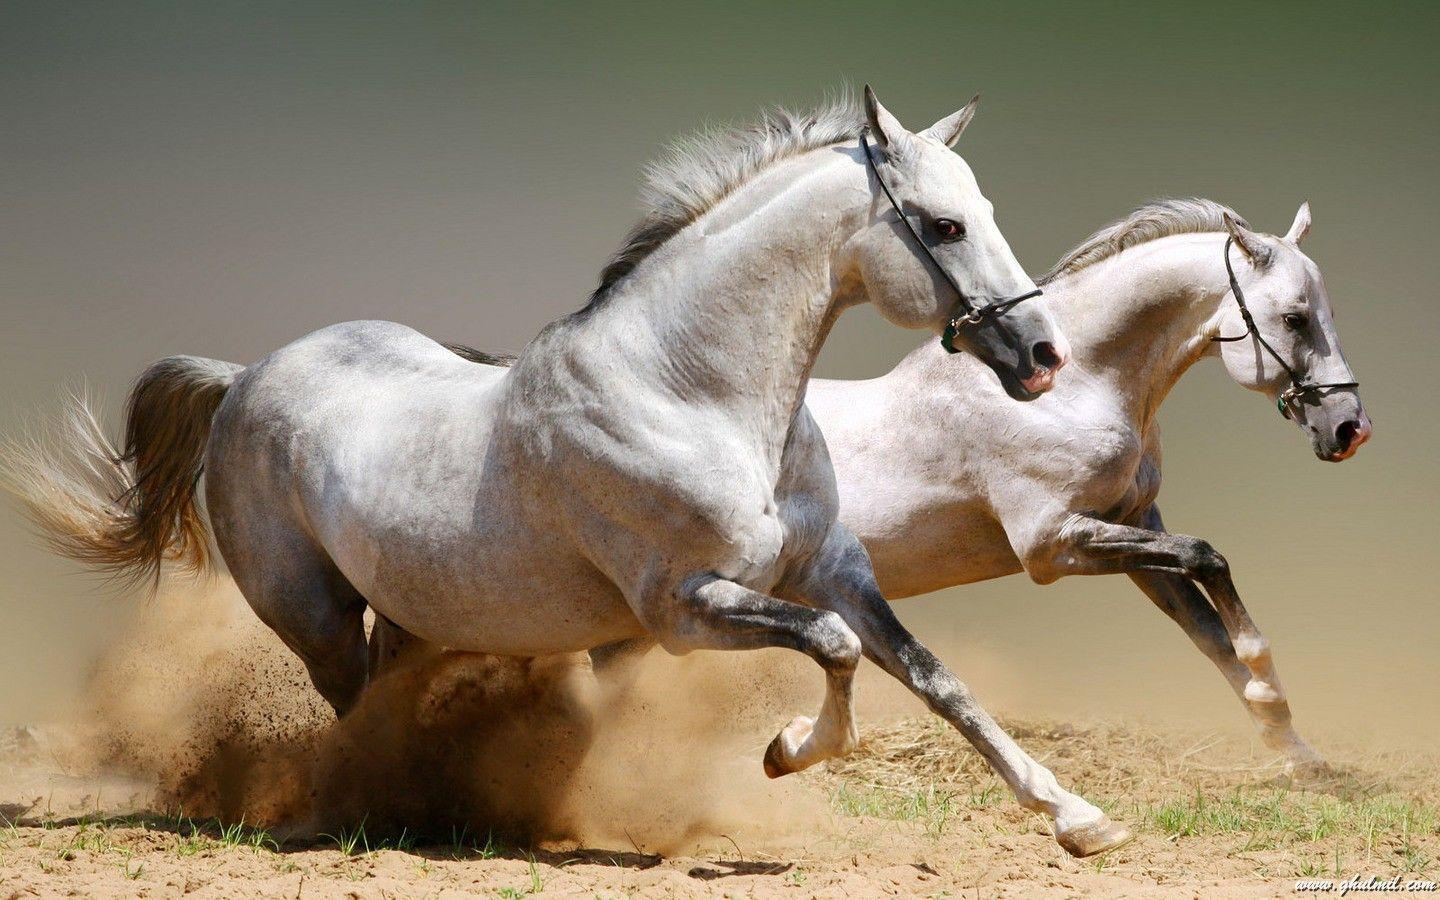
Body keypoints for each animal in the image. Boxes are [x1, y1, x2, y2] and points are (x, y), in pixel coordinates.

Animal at [7, 91, 1147, 857]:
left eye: (985, 209)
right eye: (945, 225)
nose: (1042, 356)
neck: (690, 392)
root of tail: (244, 377)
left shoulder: (833, 569)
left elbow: (933, 677)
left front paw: (1079, 820)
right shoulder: (683, 609)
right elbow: (830, 651)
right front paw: (786, 750)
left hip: (414, 614)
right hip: (313, 614)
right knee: (351, 710)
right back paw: (380, 809)